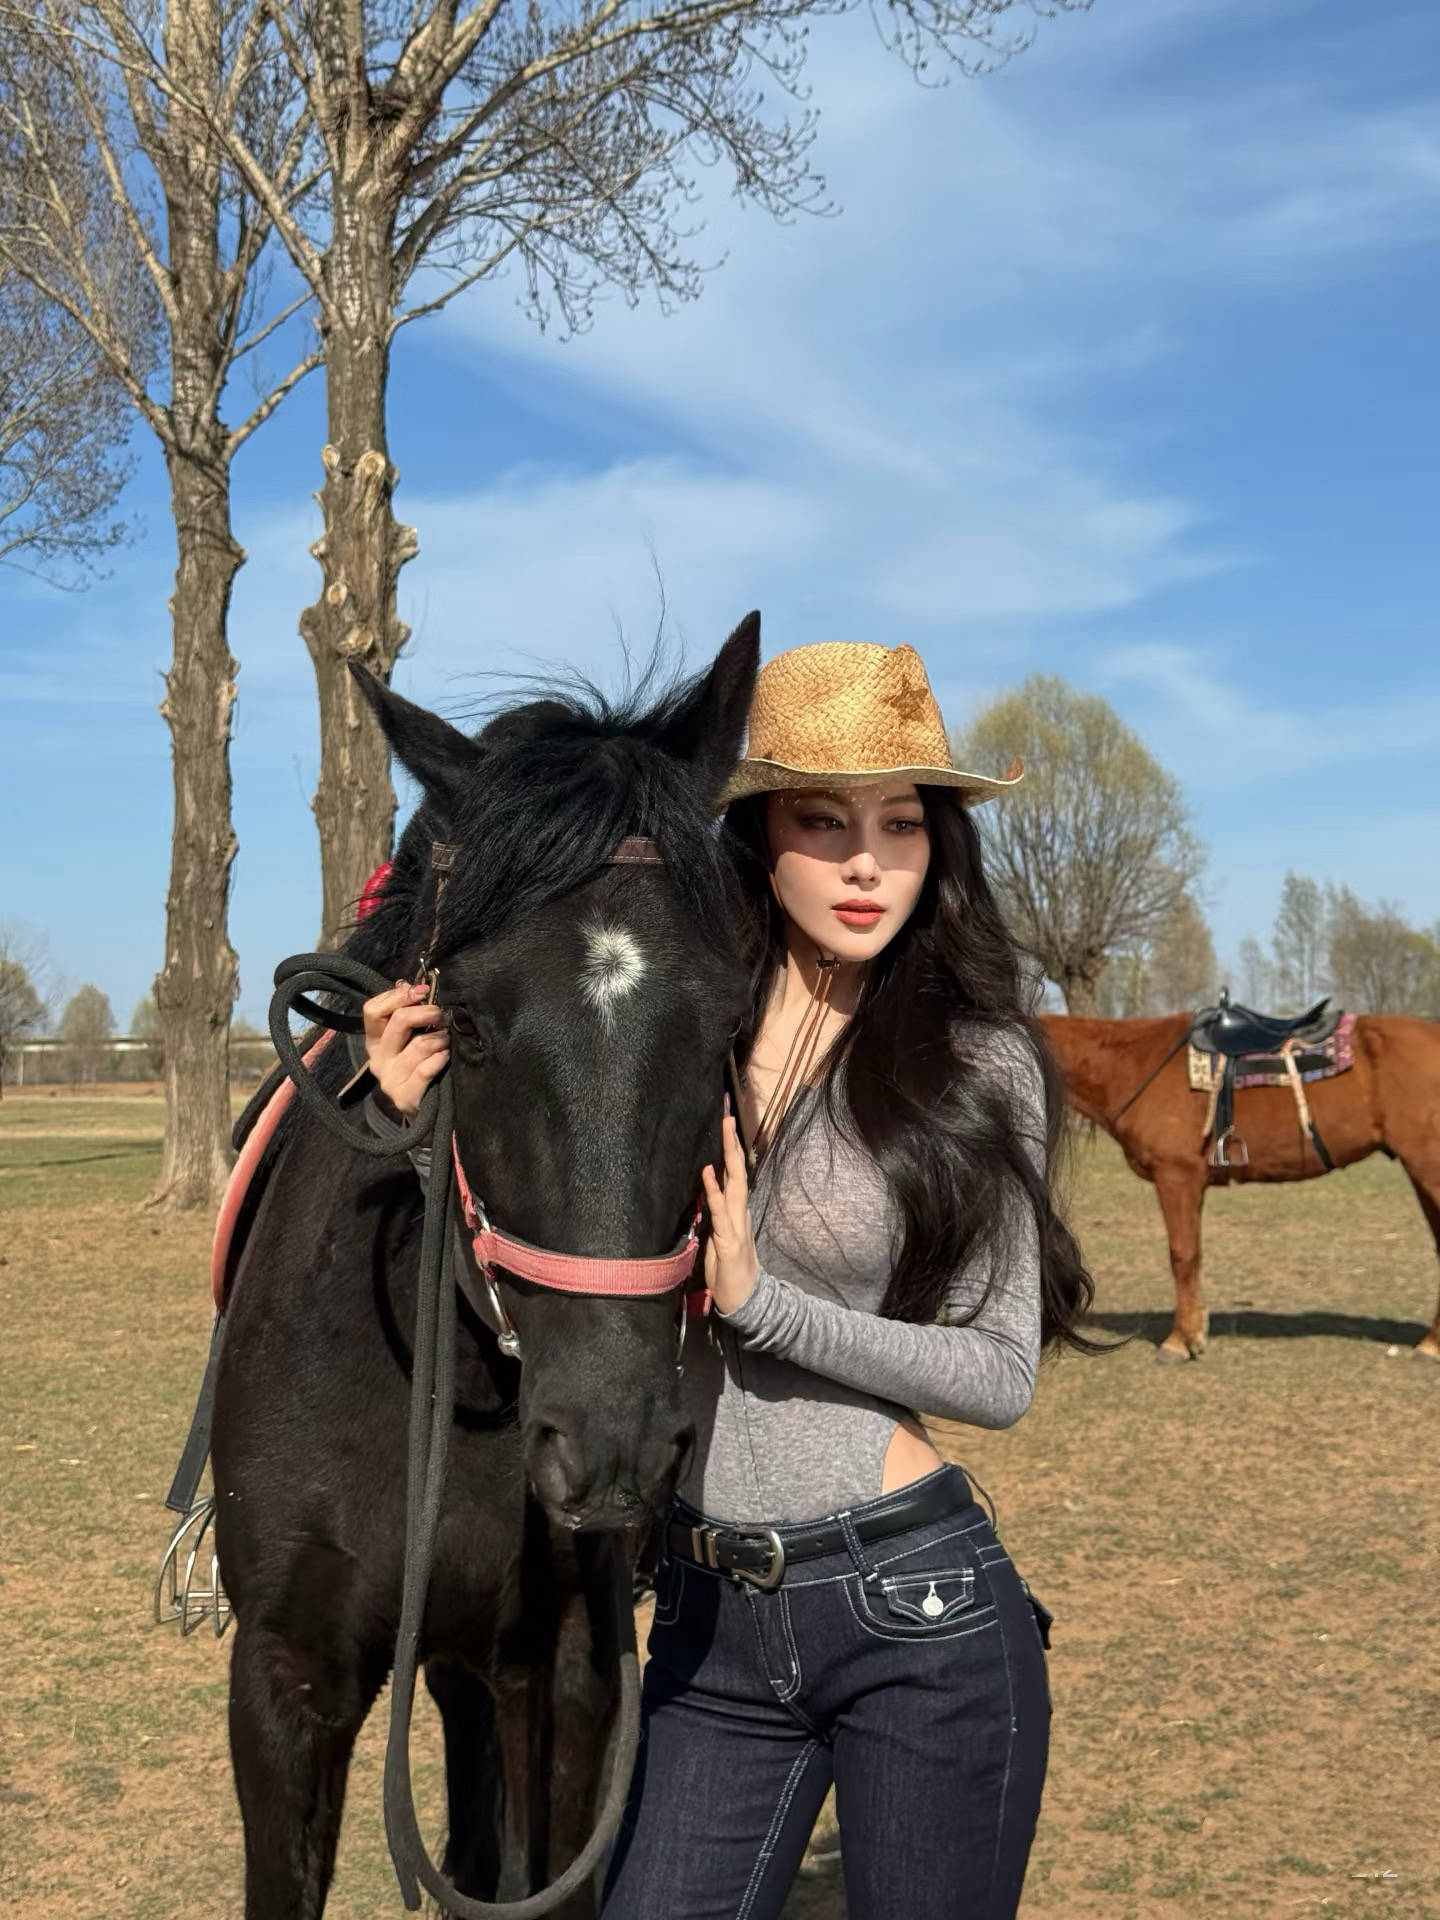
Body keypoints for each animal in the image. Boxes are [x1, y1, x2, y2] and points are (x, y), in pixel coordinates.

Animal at [1041, 1013, 1440, 1366]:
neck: (1131, 1064)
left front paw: (1178, 1342)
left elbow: (1182, 1257)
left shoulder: (1176, 1177)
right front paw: (1196, 1333)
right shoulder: (1191, 1184)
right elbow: (1194, 1256)